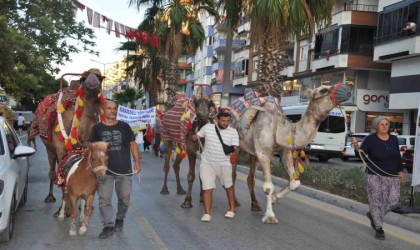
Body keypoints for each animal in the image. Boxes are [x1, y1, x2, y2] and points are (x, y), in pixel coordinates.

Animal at [29, 69, 105, 202]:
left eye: (100, 78)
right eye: (83, 78)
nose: (93, 82)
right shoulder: (60, 148)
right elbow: (64, 173)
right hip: (50, 148)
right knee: (52, 171)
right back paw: (50, 197)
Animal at [230, 83, 352, 224]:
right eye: (322, 90)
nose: (346, 89)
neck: (280, 129)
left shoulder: (285, 151)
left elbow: (295, 183)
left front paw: (275, 198)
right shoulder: (263, 152)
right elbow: (268, 187)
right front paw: (270, 216)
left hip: (251, 153)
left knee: (250, 177)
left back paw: (255, 205)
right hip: (237, 147)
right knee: (233, 174)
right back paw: (235, 202)